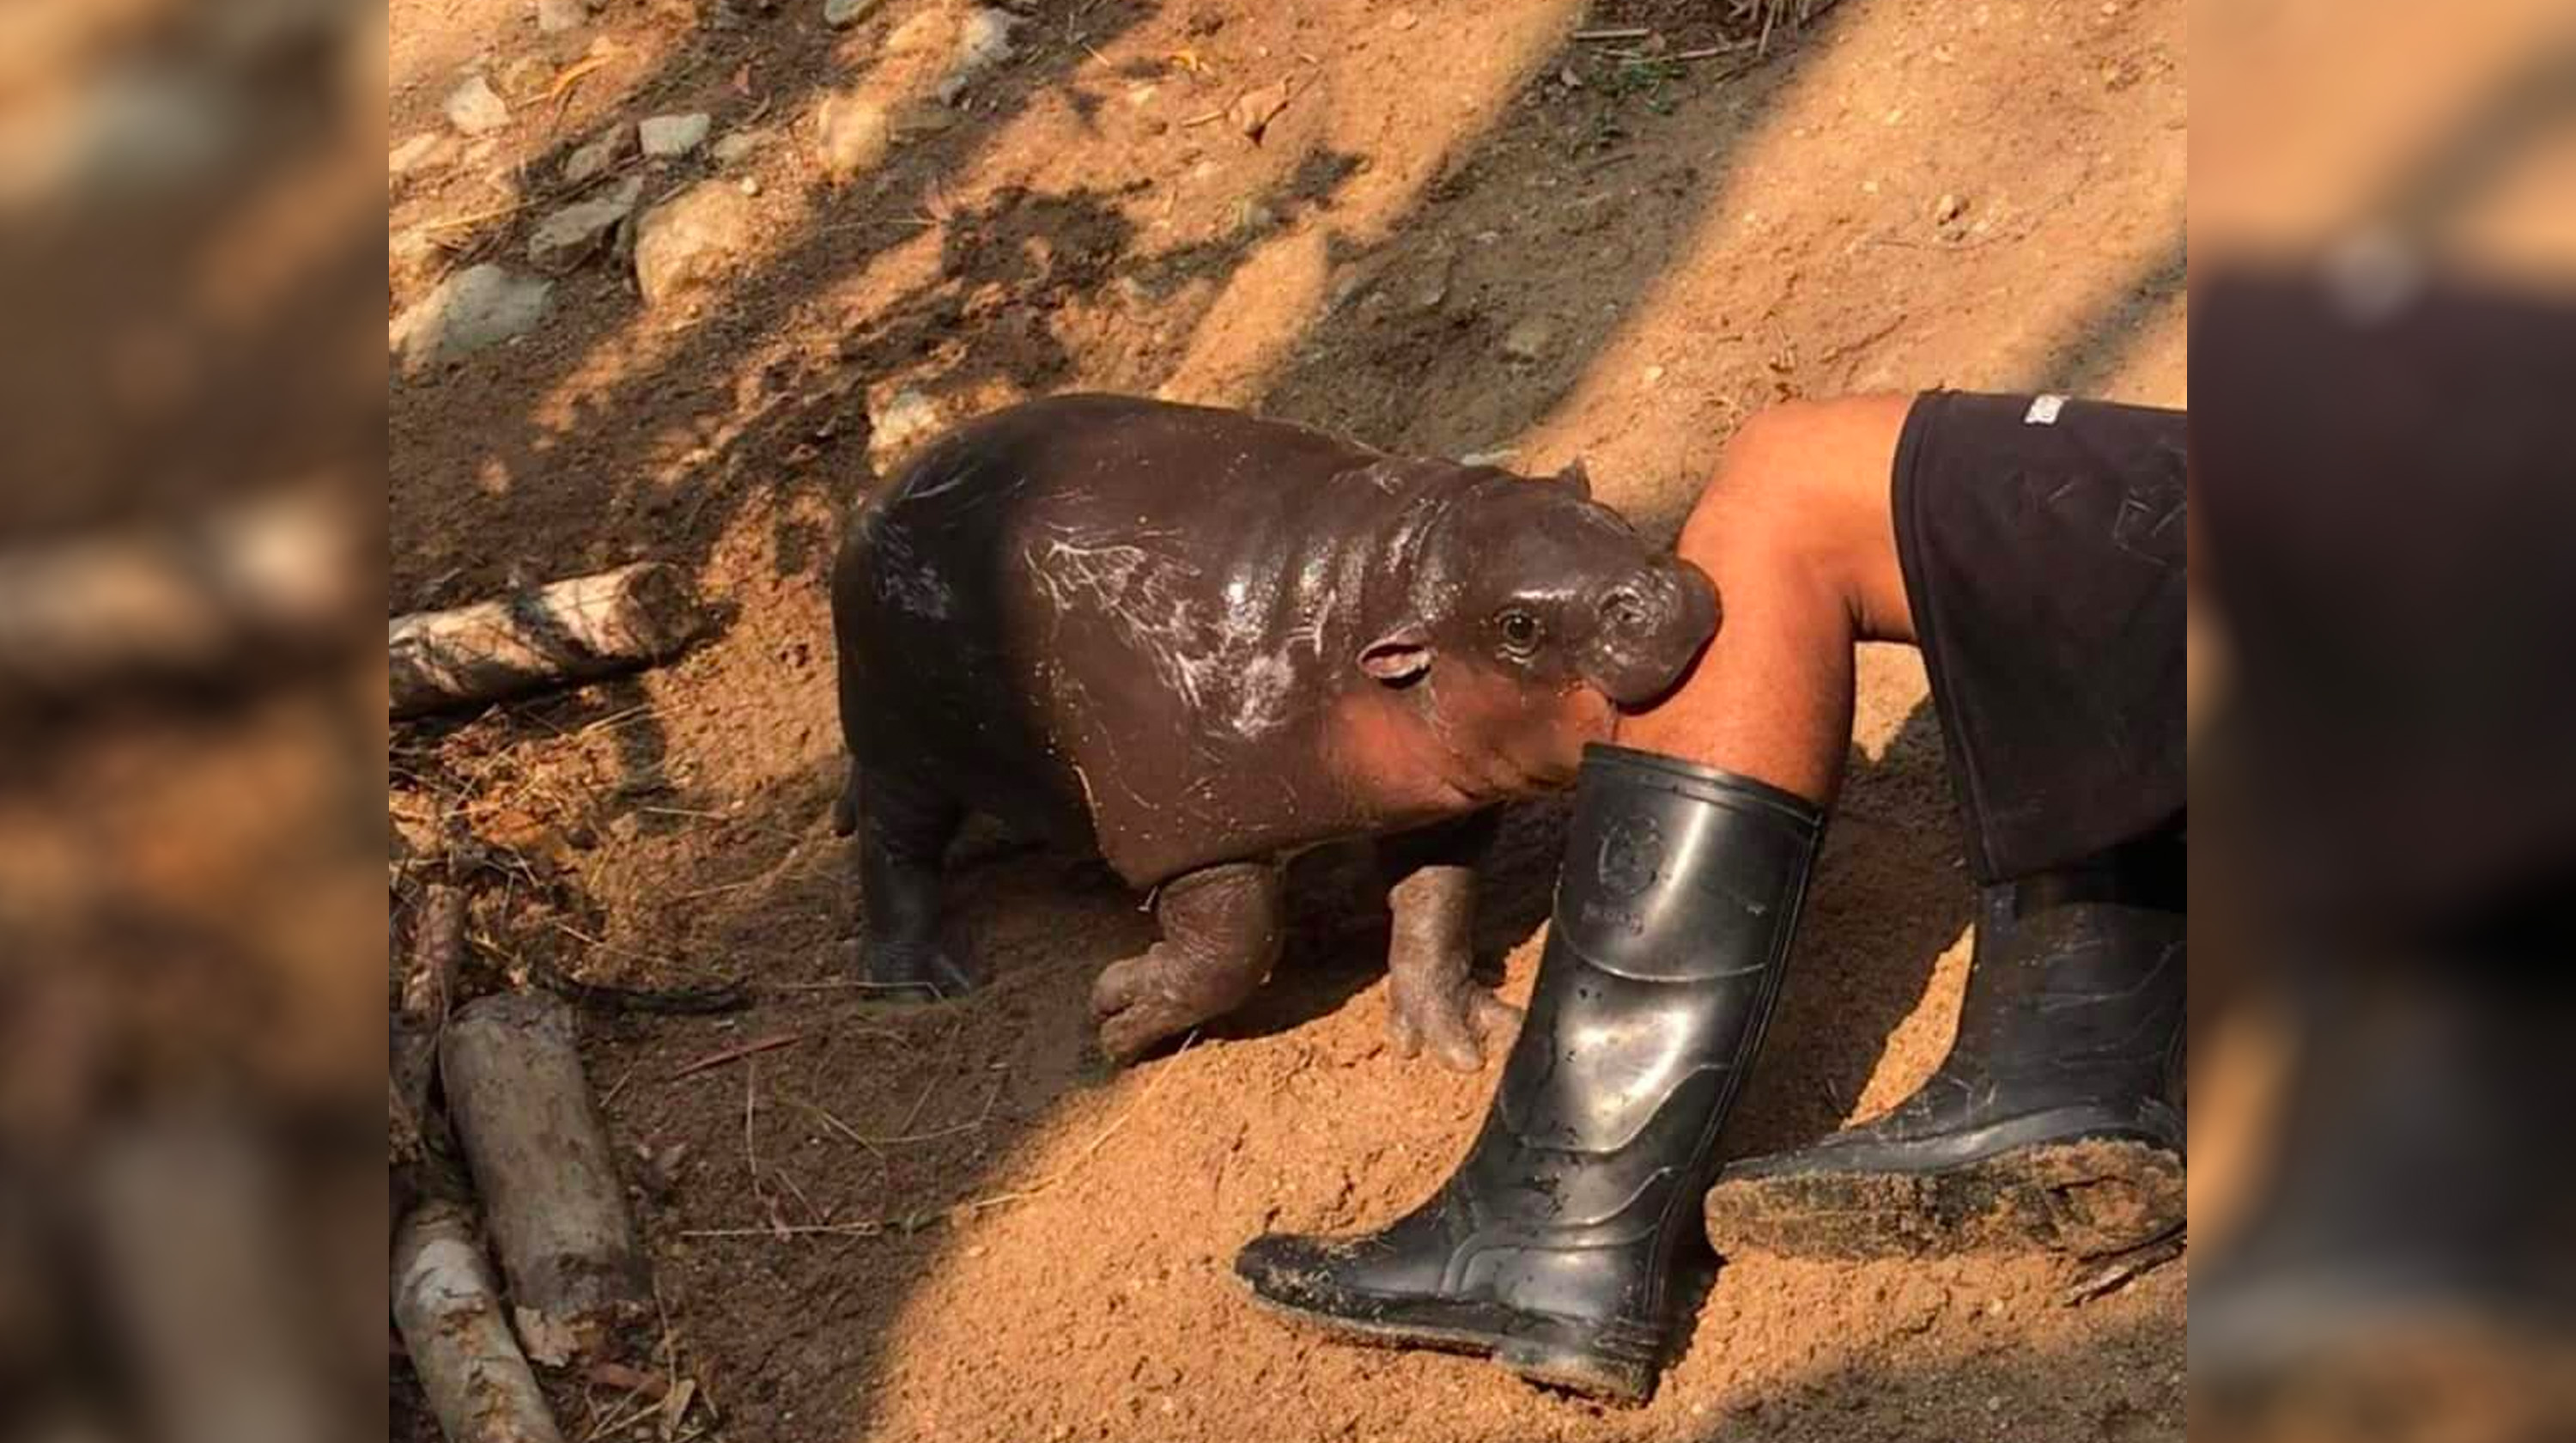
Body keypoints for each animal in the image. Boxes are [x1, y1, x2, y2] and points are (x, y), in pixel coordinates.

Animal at [830, 395, 1716, 1066]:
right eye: (1519, 627)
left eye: (1608, 514)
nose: (1661, 595)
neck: (1378, 590)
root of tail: (874, 498)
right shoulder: (1191, 826)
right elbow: (1235, 948)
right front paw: (1116, 1016)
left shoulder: (1437, 797)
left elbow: (1437, 898)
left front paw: (1465, 1034)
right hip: (903, 738)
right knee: (894, 839)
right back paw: (922, 984)